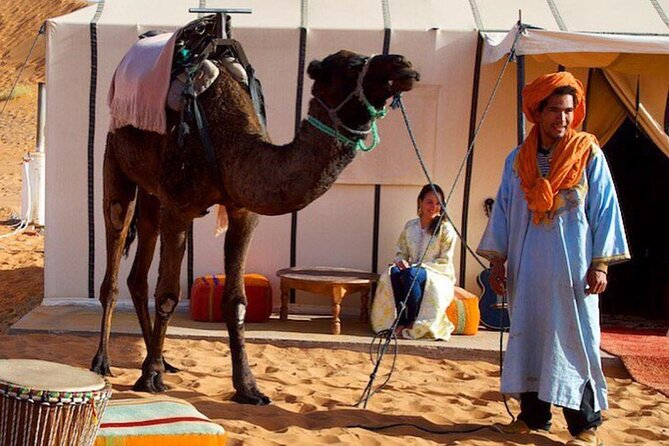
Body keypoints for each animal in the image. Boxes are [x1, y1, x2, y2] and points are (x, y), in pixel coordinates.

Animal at [89, 31, 419, 405]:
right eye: (351, 65)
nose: (404, 65)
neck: (230, 144)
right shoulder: (178, 206)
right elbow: (169, 294)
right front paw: (151, 378)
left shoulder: (243, 212)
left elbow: (236, 302)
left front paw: (248, 388)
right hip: (116, 161)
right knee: (116, 245)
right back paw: (103, 362)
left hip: (152, 191)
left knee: (139, 267)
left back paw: (162, 360)